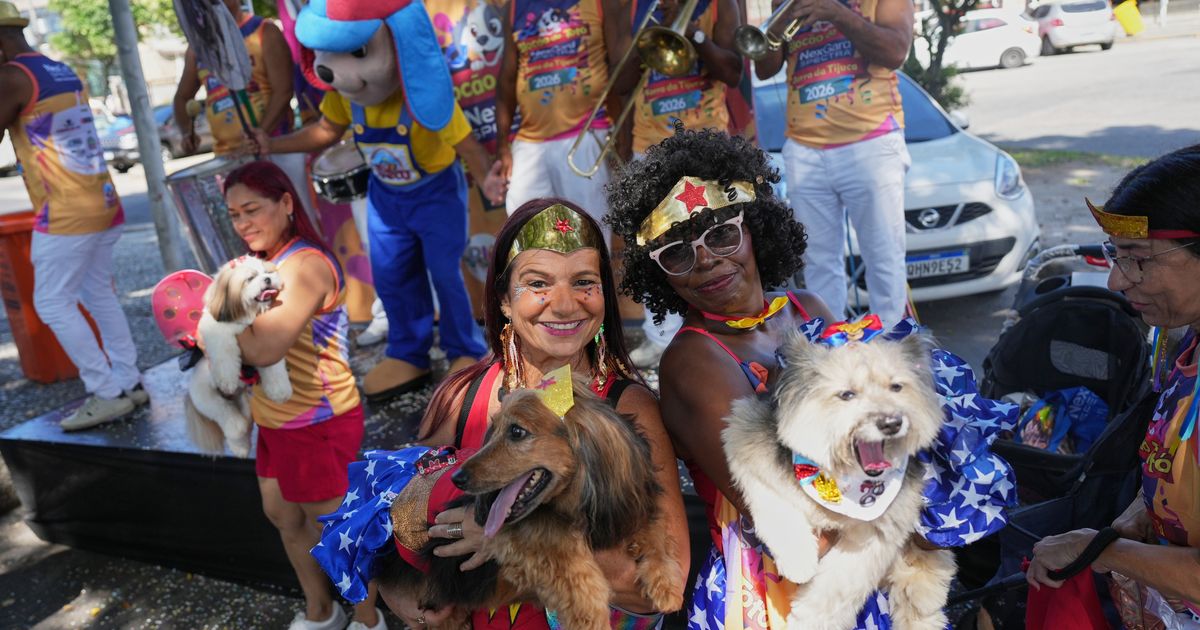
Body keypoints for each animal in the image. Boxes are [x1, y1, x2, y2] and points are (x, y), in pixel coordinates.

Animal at [185, 257, 292, 457]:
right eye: (250, 278)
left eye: (268, 272)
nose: (268, 280)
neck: (245, 317)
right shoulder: (216, 333)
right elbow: (224, 357)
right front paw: (228, 380)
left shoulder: (265, 341)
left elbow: (273, 368)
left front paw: (279, 391)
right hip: (207, 397)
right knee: (227, 418)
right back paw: (237, 432)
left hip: (244, 401)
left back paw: (241, 447)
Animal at [381, 378, 683, 630]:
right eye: (493, 430)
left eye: (516, 431)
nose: (457, 478)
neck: (578, 500)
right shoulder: (524, 533)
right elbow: (570, 563)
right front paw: (589, 617)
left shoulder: (630, 503)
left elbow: (655, 533)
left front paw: (667, 584)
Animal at [722, 330, 956, 630]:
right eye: (847, 394)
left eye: (896, 387)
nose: (891, 422)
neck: (837, 479)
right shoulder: (744, 444)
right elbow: (776, 506)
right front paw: (799, 560)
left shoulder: (879, 535)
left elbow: (836, 588)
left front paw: (808, 622)